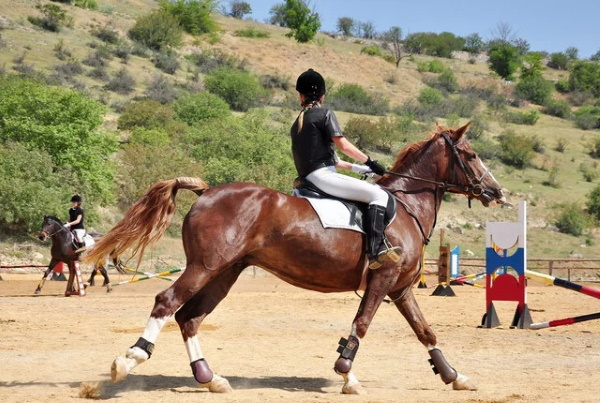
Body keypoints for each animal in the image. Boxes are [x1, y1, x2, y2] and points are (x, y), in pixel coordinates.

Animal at [85, 123, 506, 394]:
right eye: (470, 155)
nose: (496, 192)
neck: (405, 207)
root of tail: (206, 191)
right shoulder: (383, 279)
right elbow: (362, 324)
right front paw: (347, 375)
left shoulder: (401, 288)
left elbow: (425, 330)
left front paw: (454, 376)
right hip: (205, 267)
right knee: (167, 302)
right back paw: (128, 362)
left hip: (225, 273)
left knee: (189, 317)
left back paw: (210, 377)